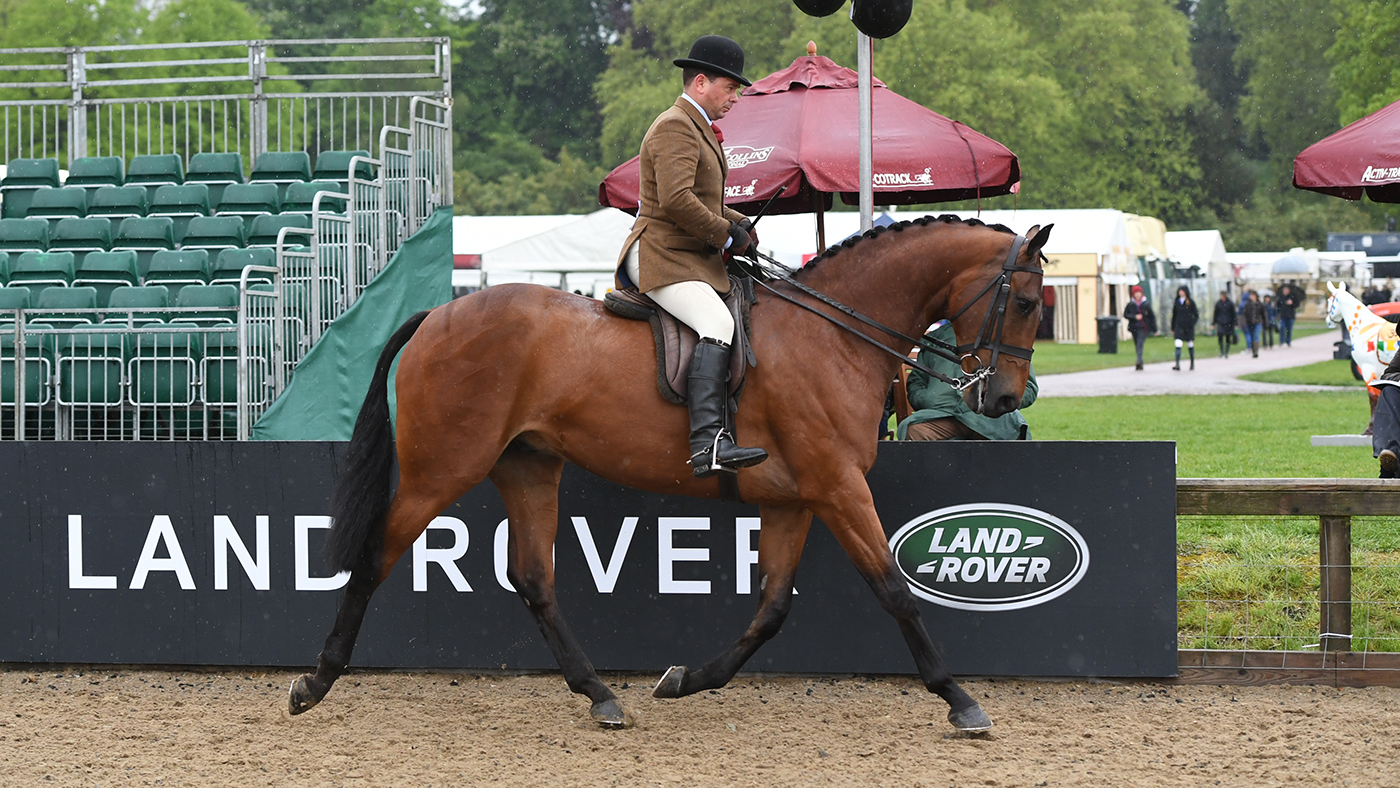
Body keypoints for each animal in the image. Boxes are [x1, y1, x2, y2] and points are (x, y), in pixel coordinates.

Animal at [287, 215, 1049, 733]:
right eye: (1027, 303)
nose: (1003, 399)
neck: (831, 337)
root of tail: (439, 312)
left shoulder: (794, 500)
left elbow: (772, 609)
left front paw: (684, 679)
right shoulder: (838, 487)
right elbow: (894, 591)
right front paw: (959, 699)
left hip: (528, 467)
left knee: (534, 578)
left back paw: (599, 695)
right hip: (439, 471)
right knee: (375, 557)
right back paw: (315, 683)